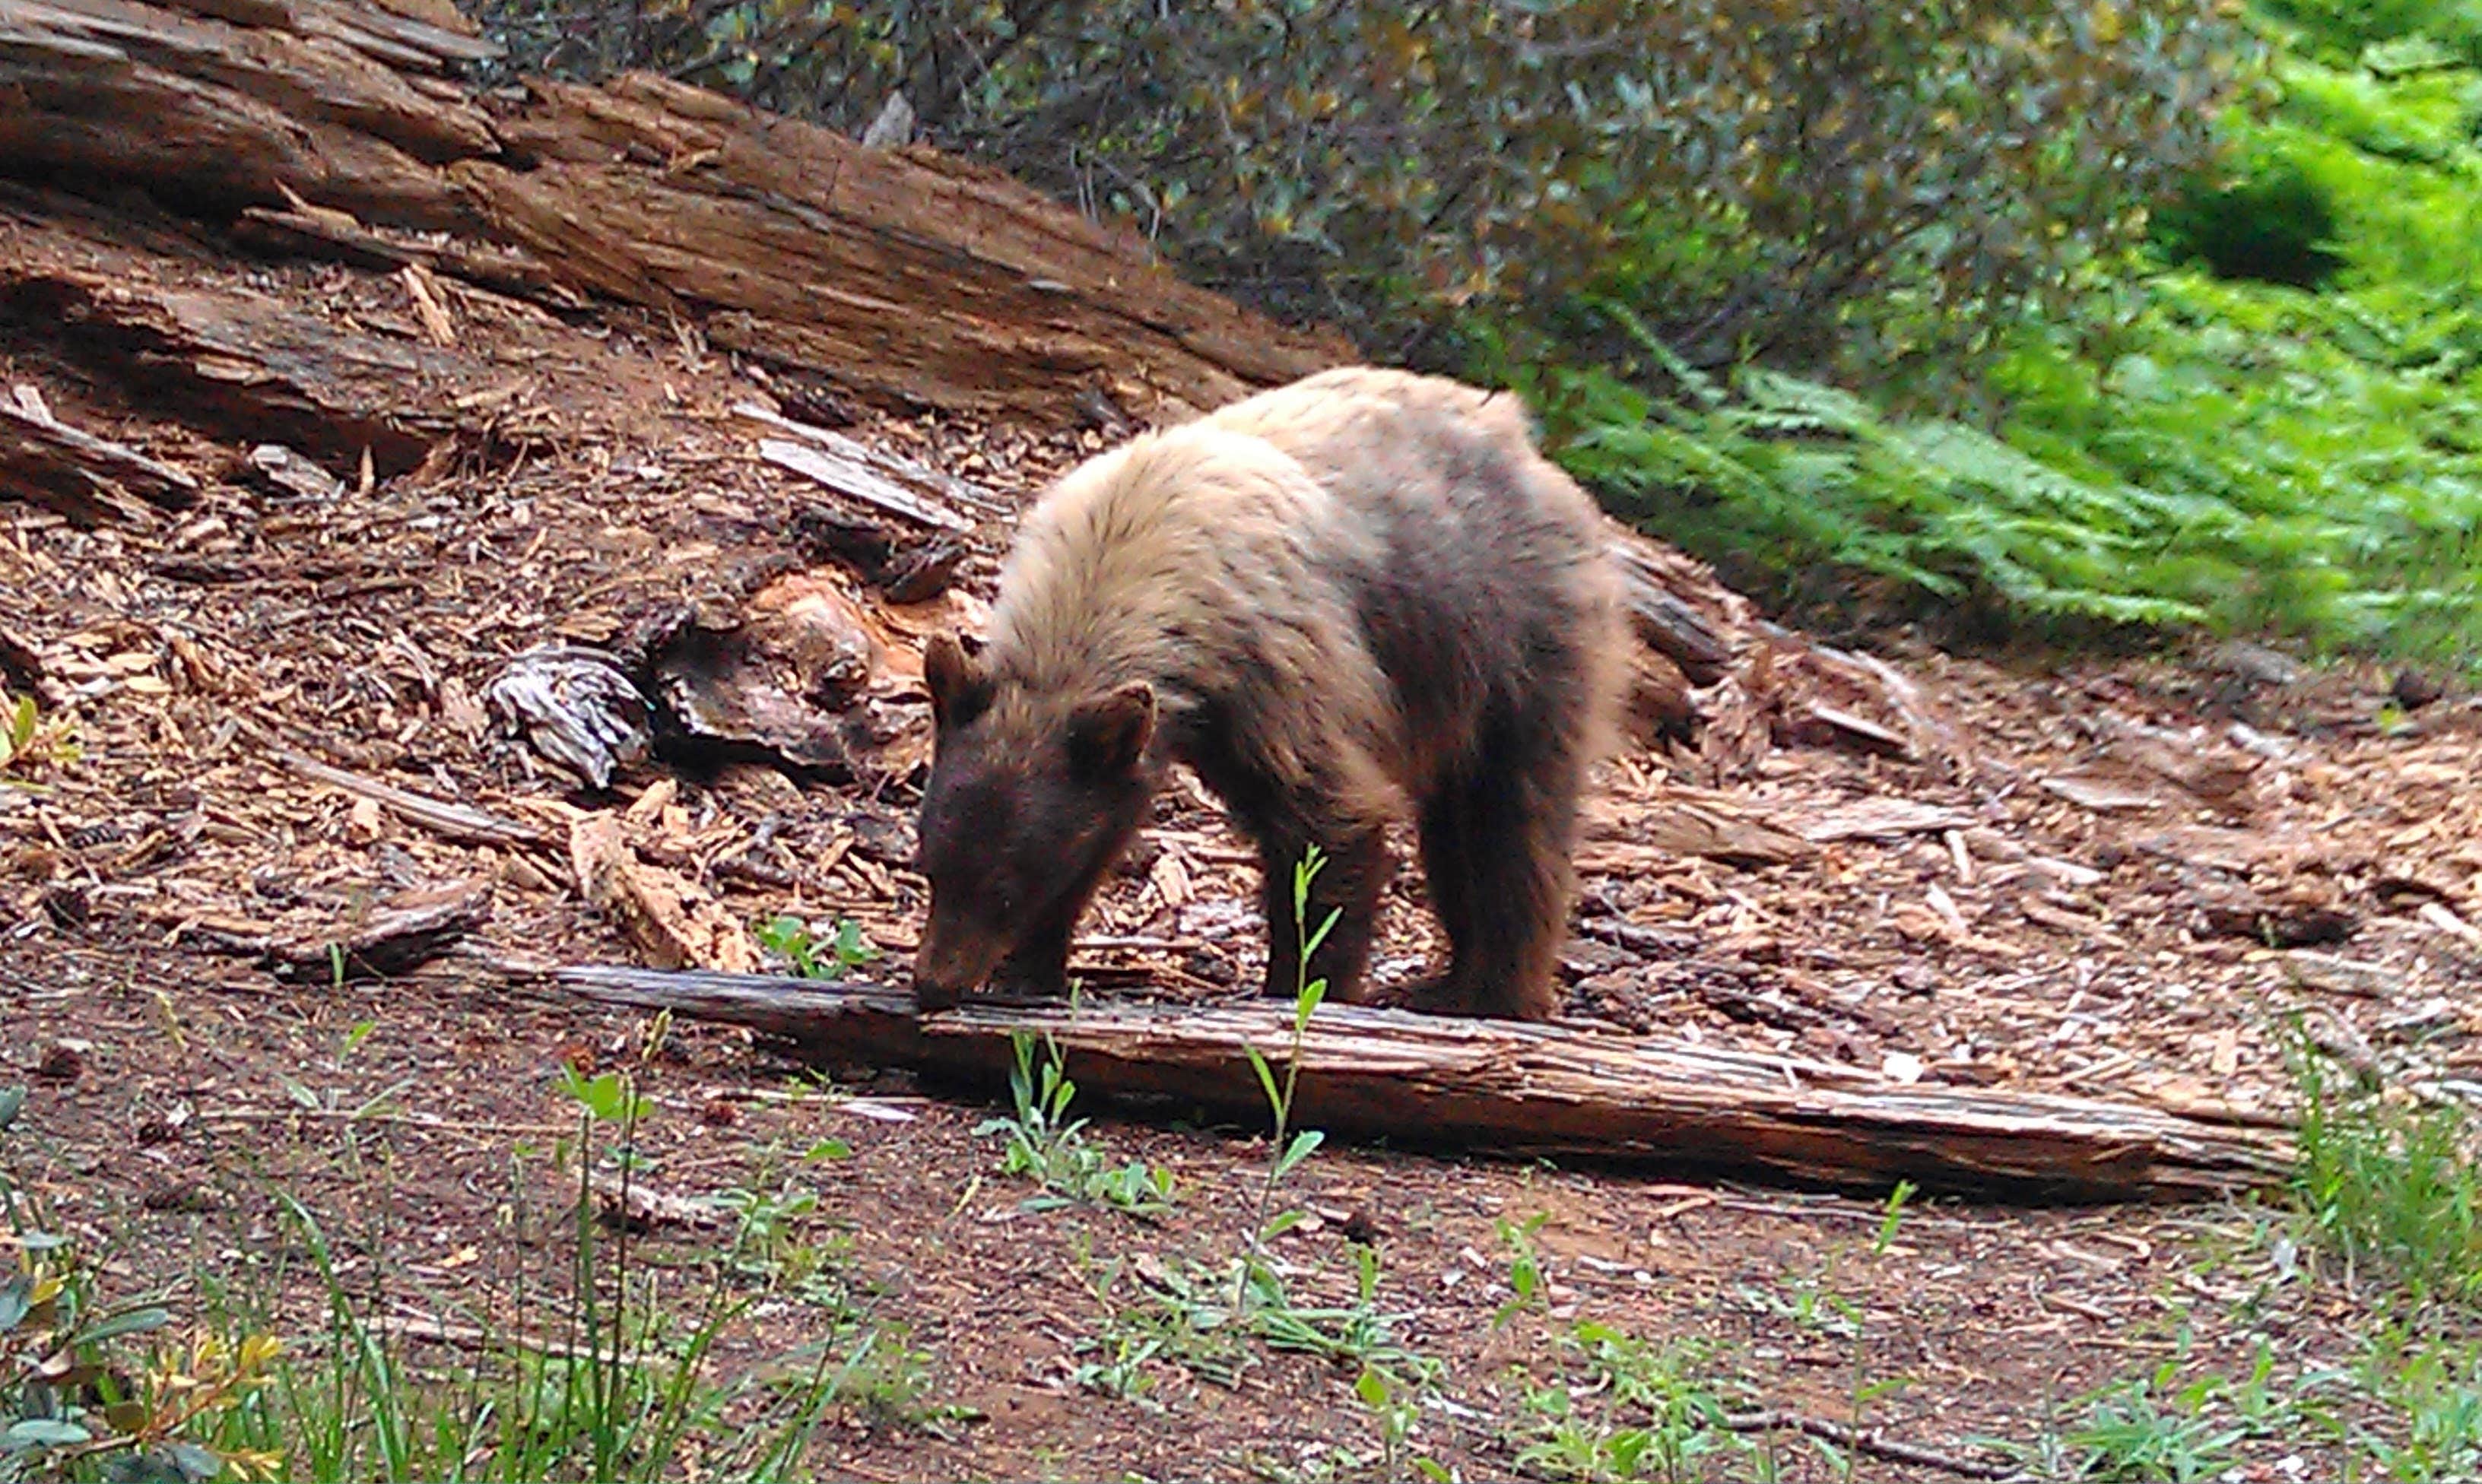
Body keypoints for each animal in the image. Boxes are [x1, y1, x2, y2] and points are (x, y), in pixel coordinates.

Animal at [913, 367, 1628, 1027]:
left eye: (1005, 889)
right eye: (930, 869)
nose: (934, 986)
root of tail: (1530, 445)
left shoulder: (1279, 674)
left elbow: (1332, 824)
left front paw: (1302, 989)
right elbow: (1096, 831)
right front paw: (1032, 968)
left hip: (1516, 646)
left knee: (1513, 825)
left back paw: (1495, 994)